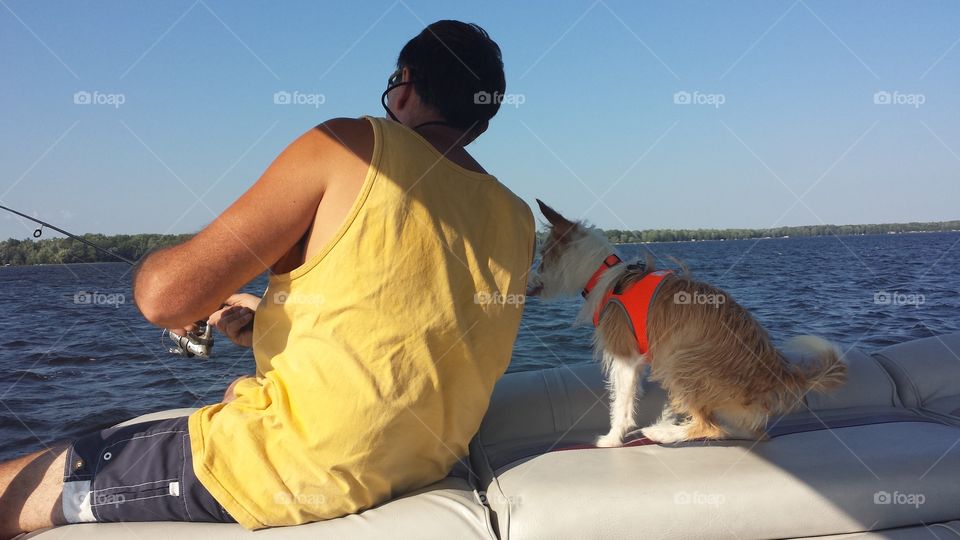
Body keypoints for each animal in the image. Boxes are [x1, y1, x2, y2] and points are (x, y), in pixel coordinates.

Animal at [524, 200, 848, 446]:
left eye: (543, 256)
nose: (527, 284)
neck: (607, 275)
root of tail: (775, 371)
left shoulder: (625, 357)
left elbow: (621, 403)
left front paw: (612, 439)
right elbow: (629, 393)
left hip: (681, 359)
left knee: (710, 426)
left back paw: (661, 432)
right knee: (746, 431)